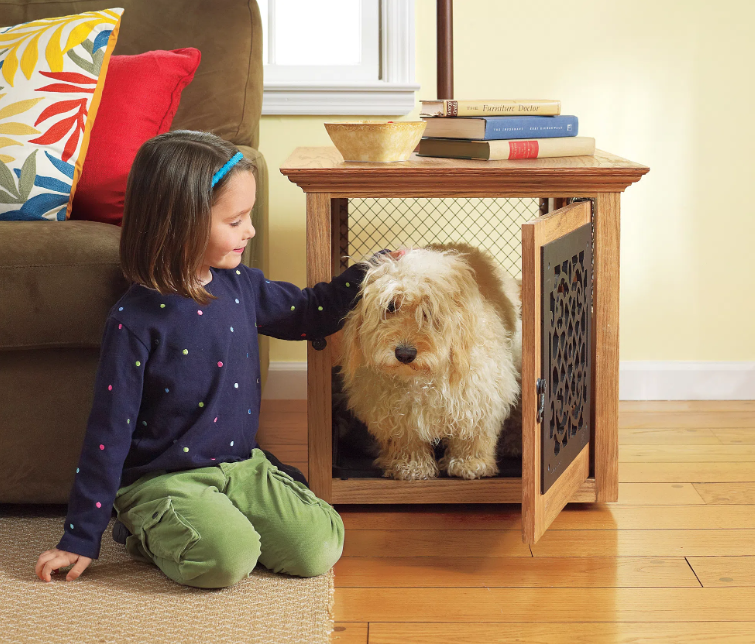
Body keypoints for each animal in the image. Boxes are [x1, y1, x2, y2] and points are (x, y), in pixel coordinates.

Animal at [340, 244, 524, 480]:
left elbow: (472, 434)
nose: (405, 354)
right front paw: (410, 467)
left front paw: (471, 464)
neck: (422, 379)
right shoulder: (396, 411)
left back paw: (514, 444)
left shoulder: (479, 396)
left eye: (428, 311)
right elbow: (406, 440)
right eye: (391, 306)